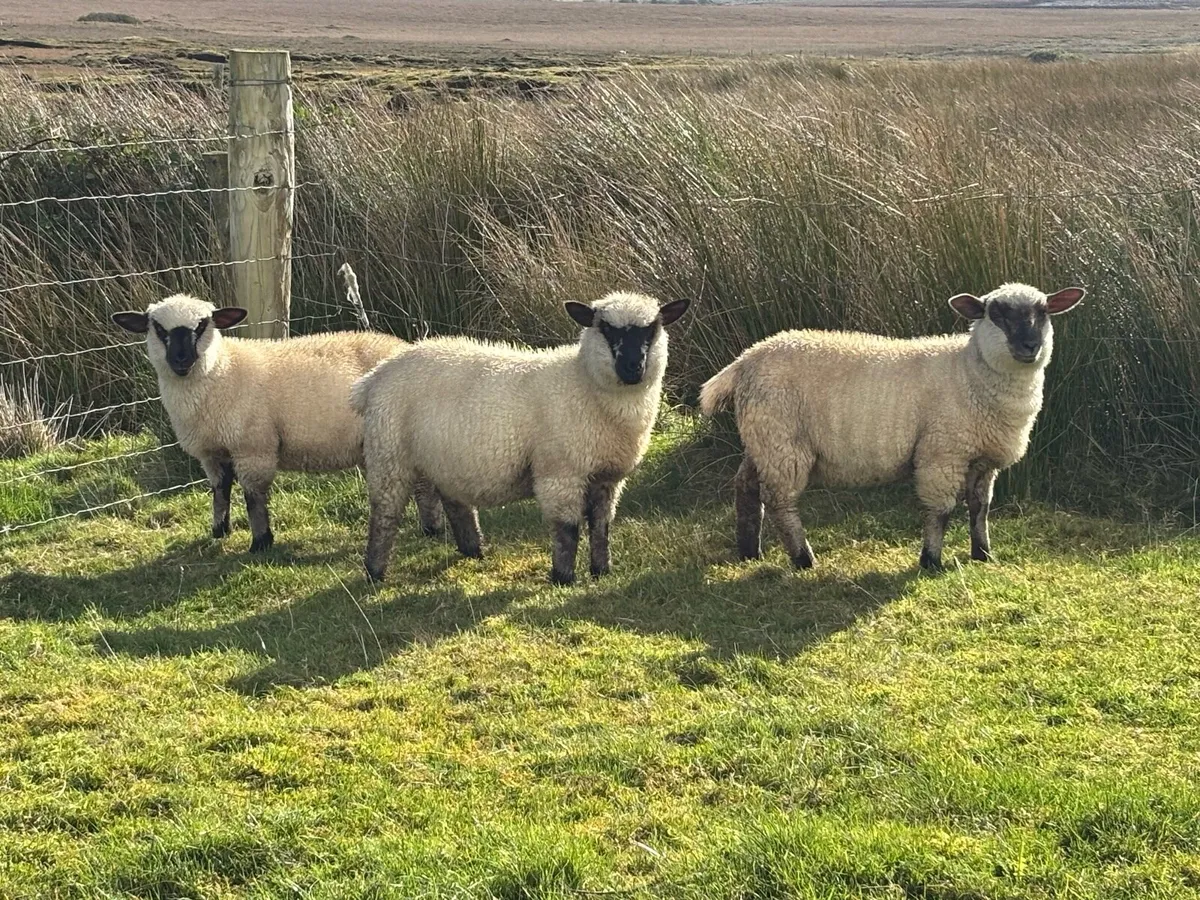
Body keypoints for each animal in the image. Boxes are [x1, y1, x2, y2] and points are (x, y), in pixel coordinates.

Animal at [111, 293, 445, 552]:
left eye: (203, 325)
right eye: (157, 328)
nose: (180, 360)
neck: (222, 371)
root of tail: (405, 347)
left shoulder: (253, 447)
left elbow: (253, 497)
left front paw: (261, 541)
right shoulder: (213, 452)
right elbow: (220, 490)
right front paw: (219, 530)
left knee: (424, 484)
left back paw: (432, 528)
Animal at [351, 291, 691, 584]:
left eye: (652, 329)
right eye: (605, 329)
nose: (633, 367)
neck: (583, 384)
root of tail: (375, 377)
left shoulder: (607, 478)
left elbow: (601, 528)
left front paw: (601, 571)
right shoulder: (560, 474)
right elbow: (568, 530)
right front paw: (563, 578)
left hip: (442, 458)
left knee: (454, 501)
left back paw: (473, 550)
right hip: (389, 455)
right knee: (384, 515)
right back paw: (375, 572)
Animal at [698, 282, 1085, 571]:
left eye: (1043, 312)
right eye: (997, 314)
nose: (1030, 346)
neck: (968, 372)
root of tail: (745, 360)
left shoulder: (982, 459)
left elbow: (980, 508)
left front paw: (982, 554)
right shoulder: (941, 453)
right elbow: (940, 511)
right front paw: (931, 561)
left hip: (763, 438)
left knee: (745, 486)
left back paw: (749, 550)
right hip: (783, 443)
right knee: (780, 502)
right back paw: (803, 558)